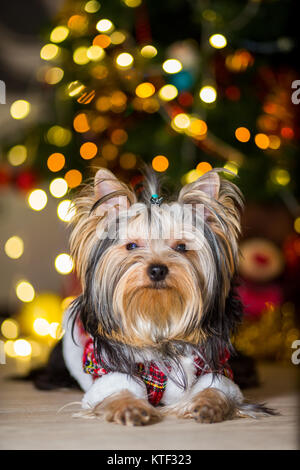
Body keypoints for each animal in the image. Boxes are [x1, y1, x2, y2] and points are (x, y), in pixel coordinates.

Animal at [58, 168, 272, 426]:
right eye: (131, 246)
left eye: (181, 247)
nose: (157, 269)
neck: (158, 318)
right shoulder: (110, 371)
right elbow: (118, 392)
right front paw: (130, 408)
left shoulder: (213, 368)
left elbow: (216, 389)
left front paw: (208, 405)